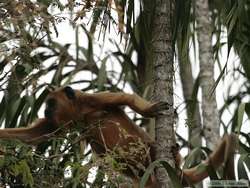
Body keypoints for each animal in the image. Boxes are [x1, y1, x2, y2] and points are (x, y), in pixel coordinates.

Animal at [0, 86, 236, 187]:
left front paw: (149, 110)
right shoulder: (65, 121)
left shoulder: (93, 99)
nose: (45, 110)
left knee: (155, 149)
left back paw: (174, 159)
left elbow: (125, 97)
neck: (81, 113)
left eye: (50, 103)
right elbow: (34, 135)